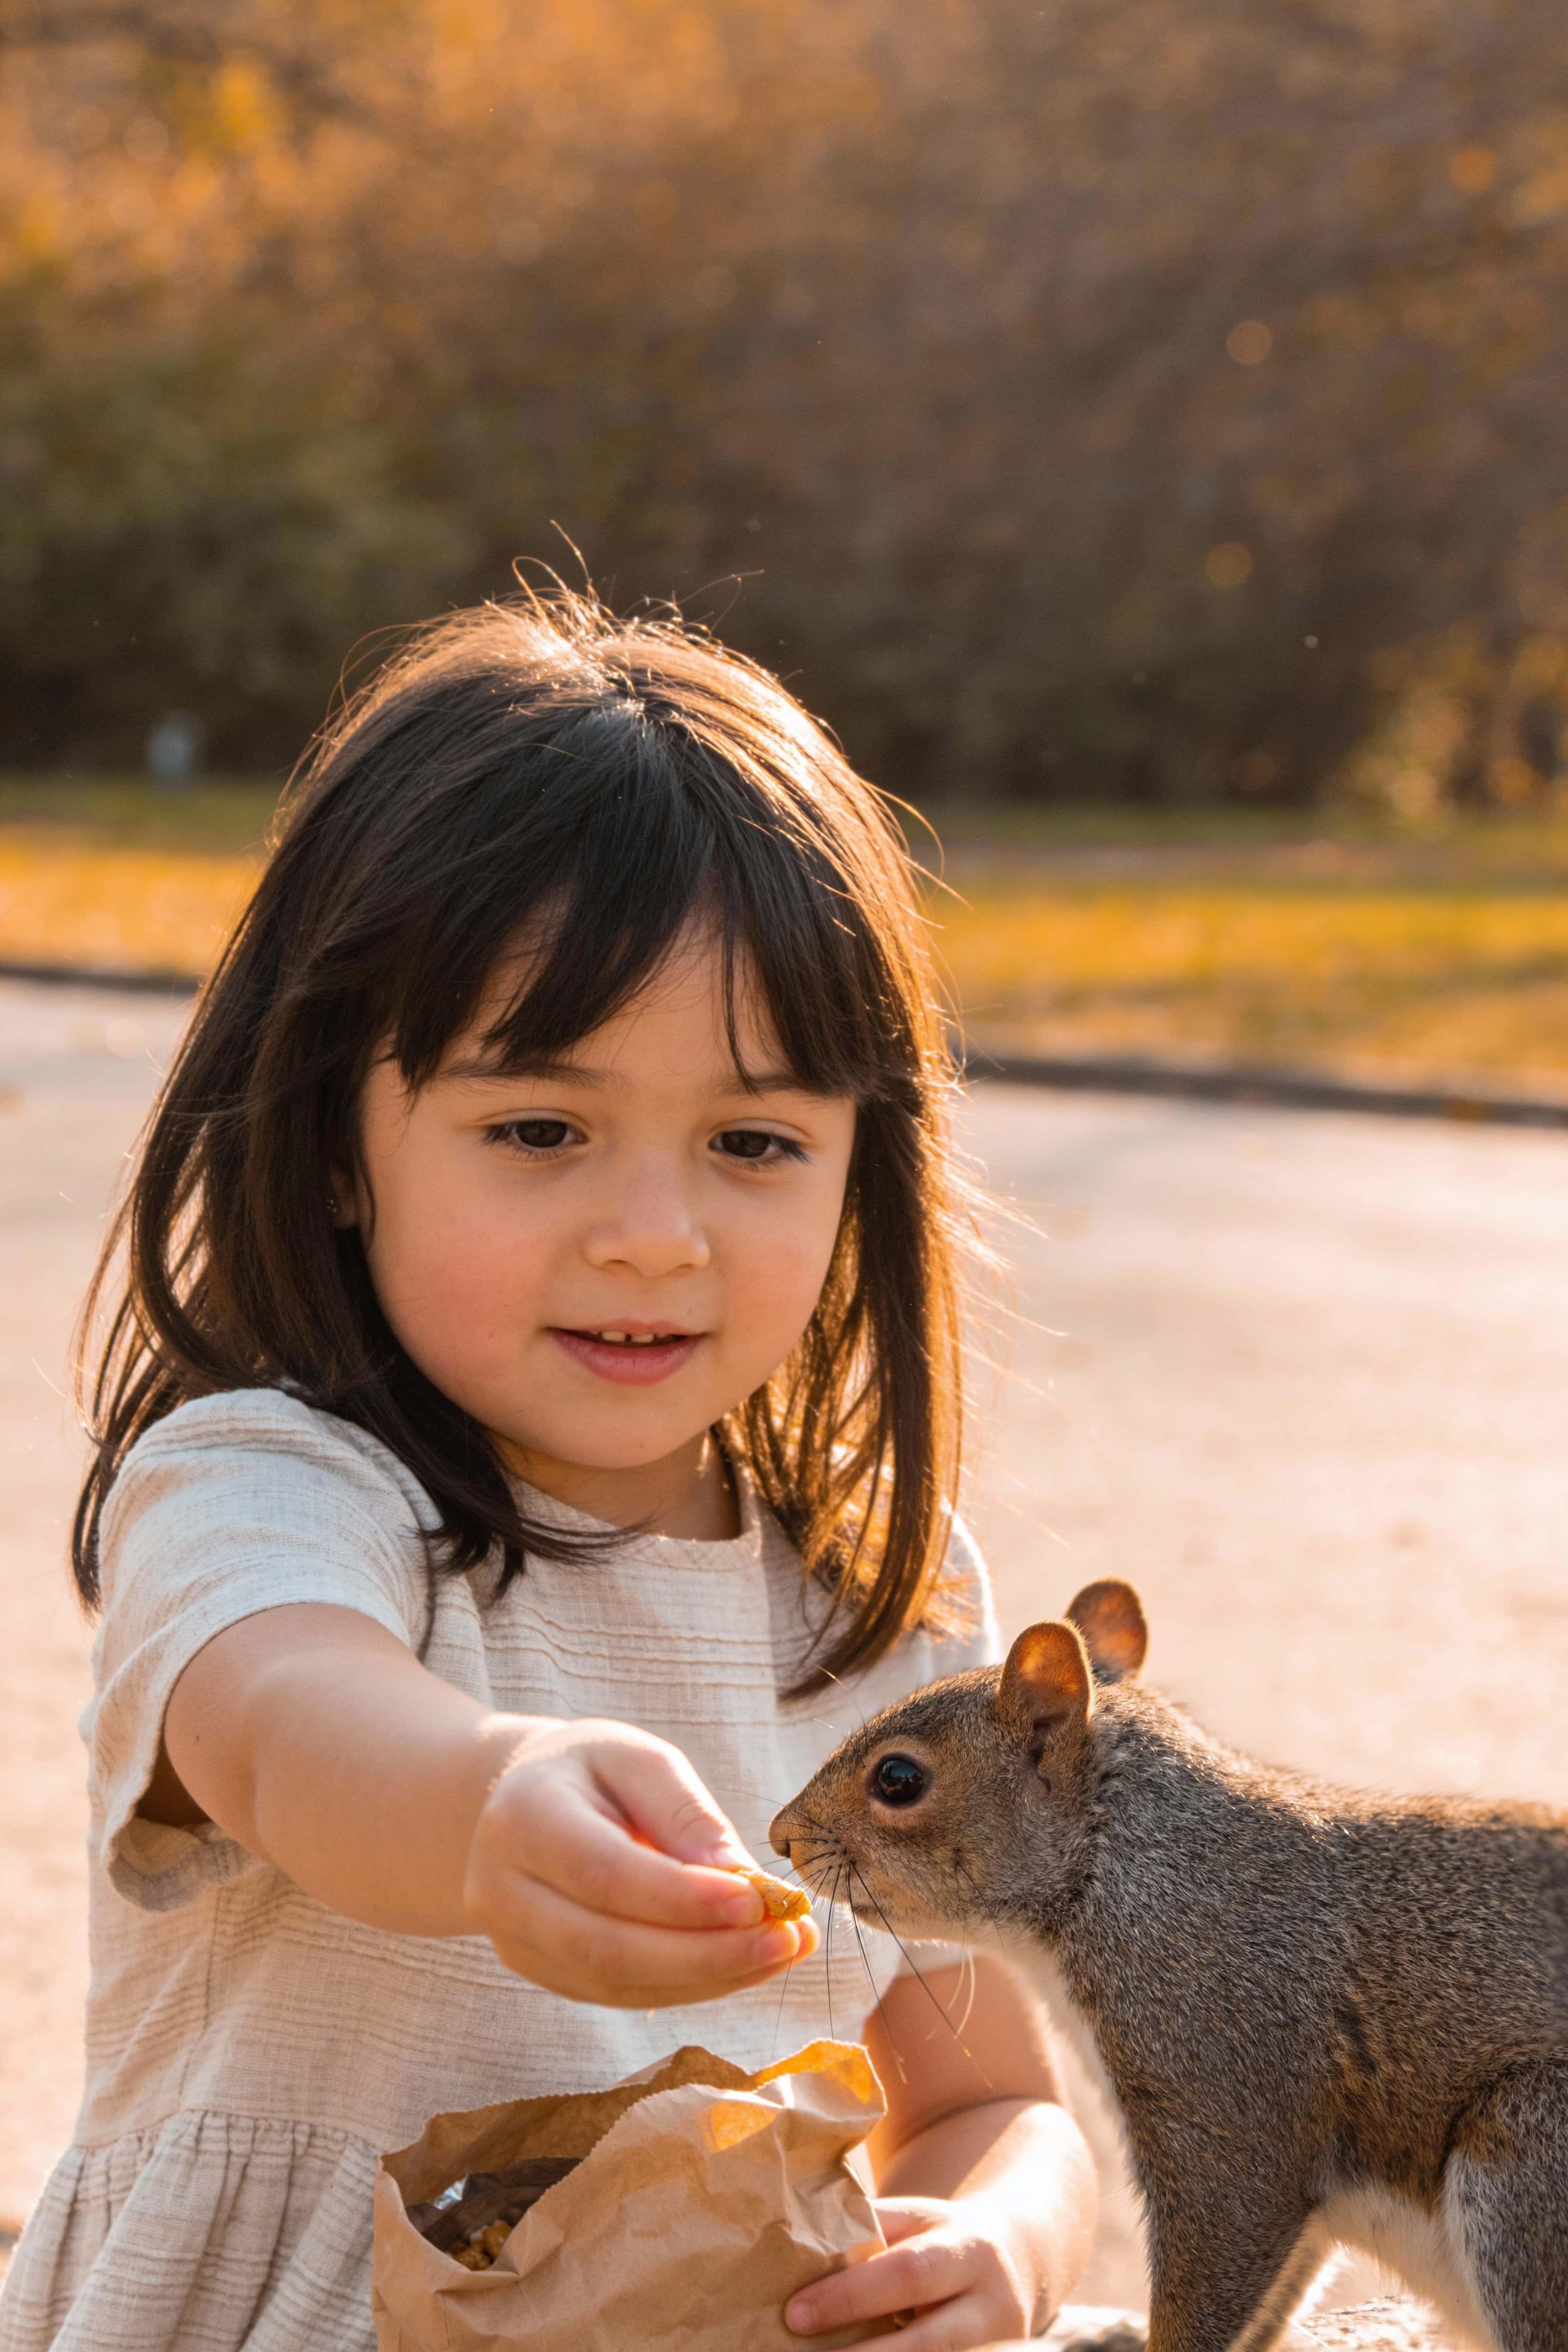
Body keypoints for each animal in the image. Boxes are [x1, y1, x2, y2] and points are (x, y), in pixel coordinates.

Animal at [769, 1579, 1568, 2352]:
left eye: (898, 1779)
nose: (781, 1836)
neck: (1121, 1867)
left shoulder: (1222, 2087)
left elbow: (1224, 2247)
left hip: (1527, 2159)